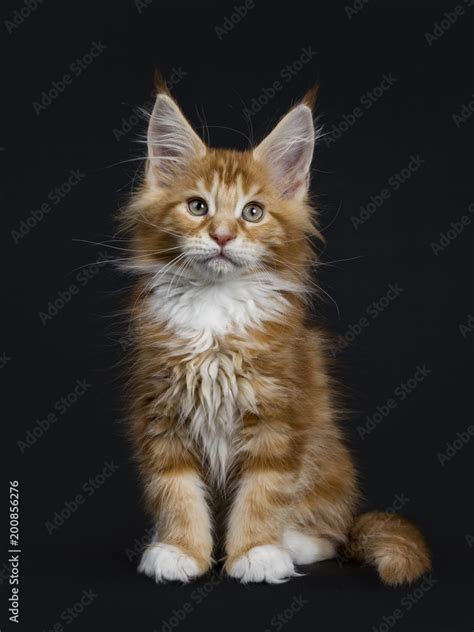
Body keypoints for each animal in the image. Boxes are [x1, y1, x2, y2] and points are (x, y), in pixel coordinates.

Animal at [120, 81, 432, 584]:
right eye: (197, 206)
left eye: (252, 212)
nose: (223, 235)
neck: (216, 308)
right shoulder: (162, 413)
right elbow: (176, 491)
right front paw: (181, 550)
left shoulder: (278, 416)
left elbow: (263, 492)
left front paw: (256, 552)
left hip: (328, 459)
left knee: (332, 530)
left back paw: (294, 542)